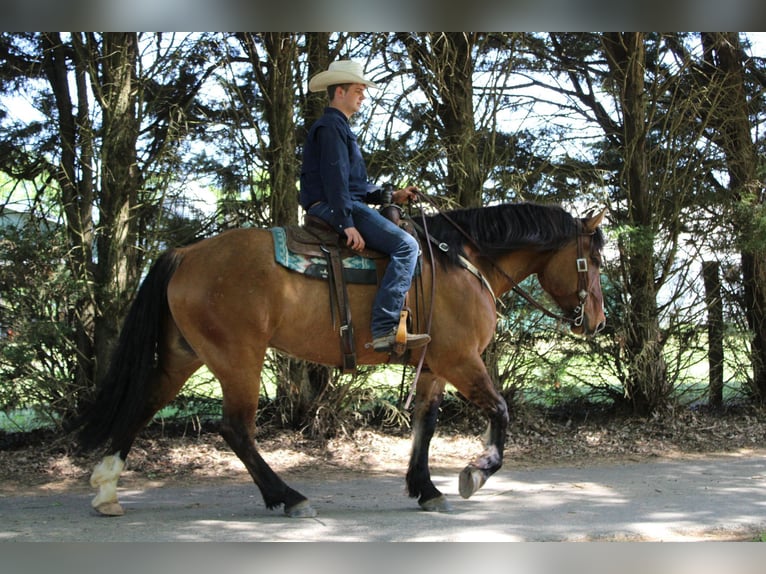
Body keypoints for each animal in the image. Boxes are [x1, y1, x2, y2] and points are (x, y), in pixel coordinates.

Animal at [76, 201, 608, 516]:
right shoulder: (462, 360)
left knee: (142, 405)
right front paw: (474, 473)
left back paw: (106, 489)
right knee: (235, 429)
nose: (598, 321)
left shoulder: (436, 366)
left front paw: (425, 488)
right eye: (597, 260)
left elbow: (426, 423)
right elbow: (499, 411)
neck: (460, 261)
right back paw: (287, 497)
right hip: (238, 359)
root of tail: (186, 254)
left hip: (184, 355)